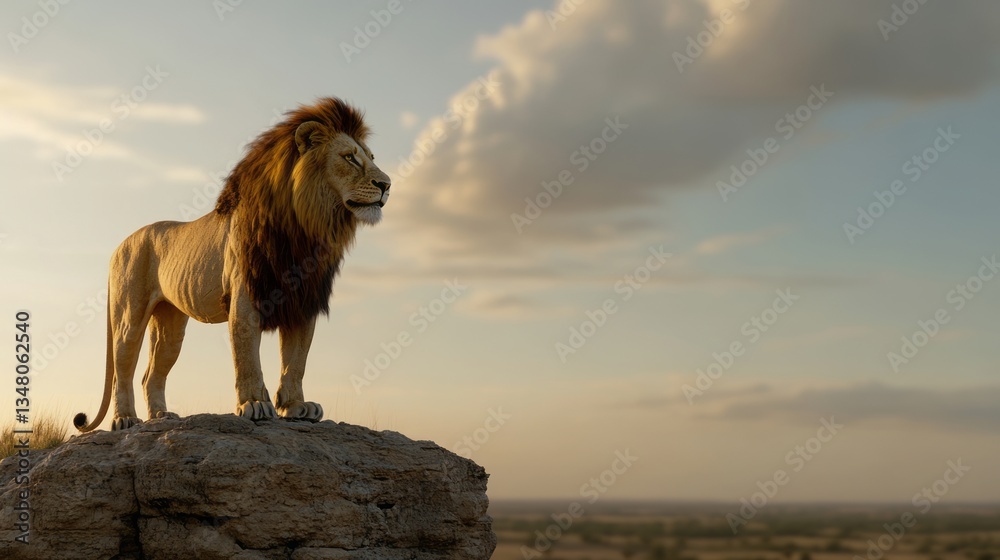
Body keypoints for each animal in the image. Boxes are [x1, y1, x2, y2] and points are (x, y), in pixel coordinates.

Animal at [74, 97, 390, 432]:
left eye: (371, 157)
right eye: (350, 158)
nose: (387, 184)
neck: (305, 227)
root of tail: (118, 246)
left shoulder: (302, 303)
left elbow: (296, 361)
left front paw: (296, 406)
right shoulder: (246, 297)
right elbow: (247, 355)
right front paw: (254, 404)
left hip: (170, 324)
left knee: (151, 374)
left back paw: (161, 415)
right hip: (129, 317)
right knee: (123, 370)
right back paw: (125, 419)